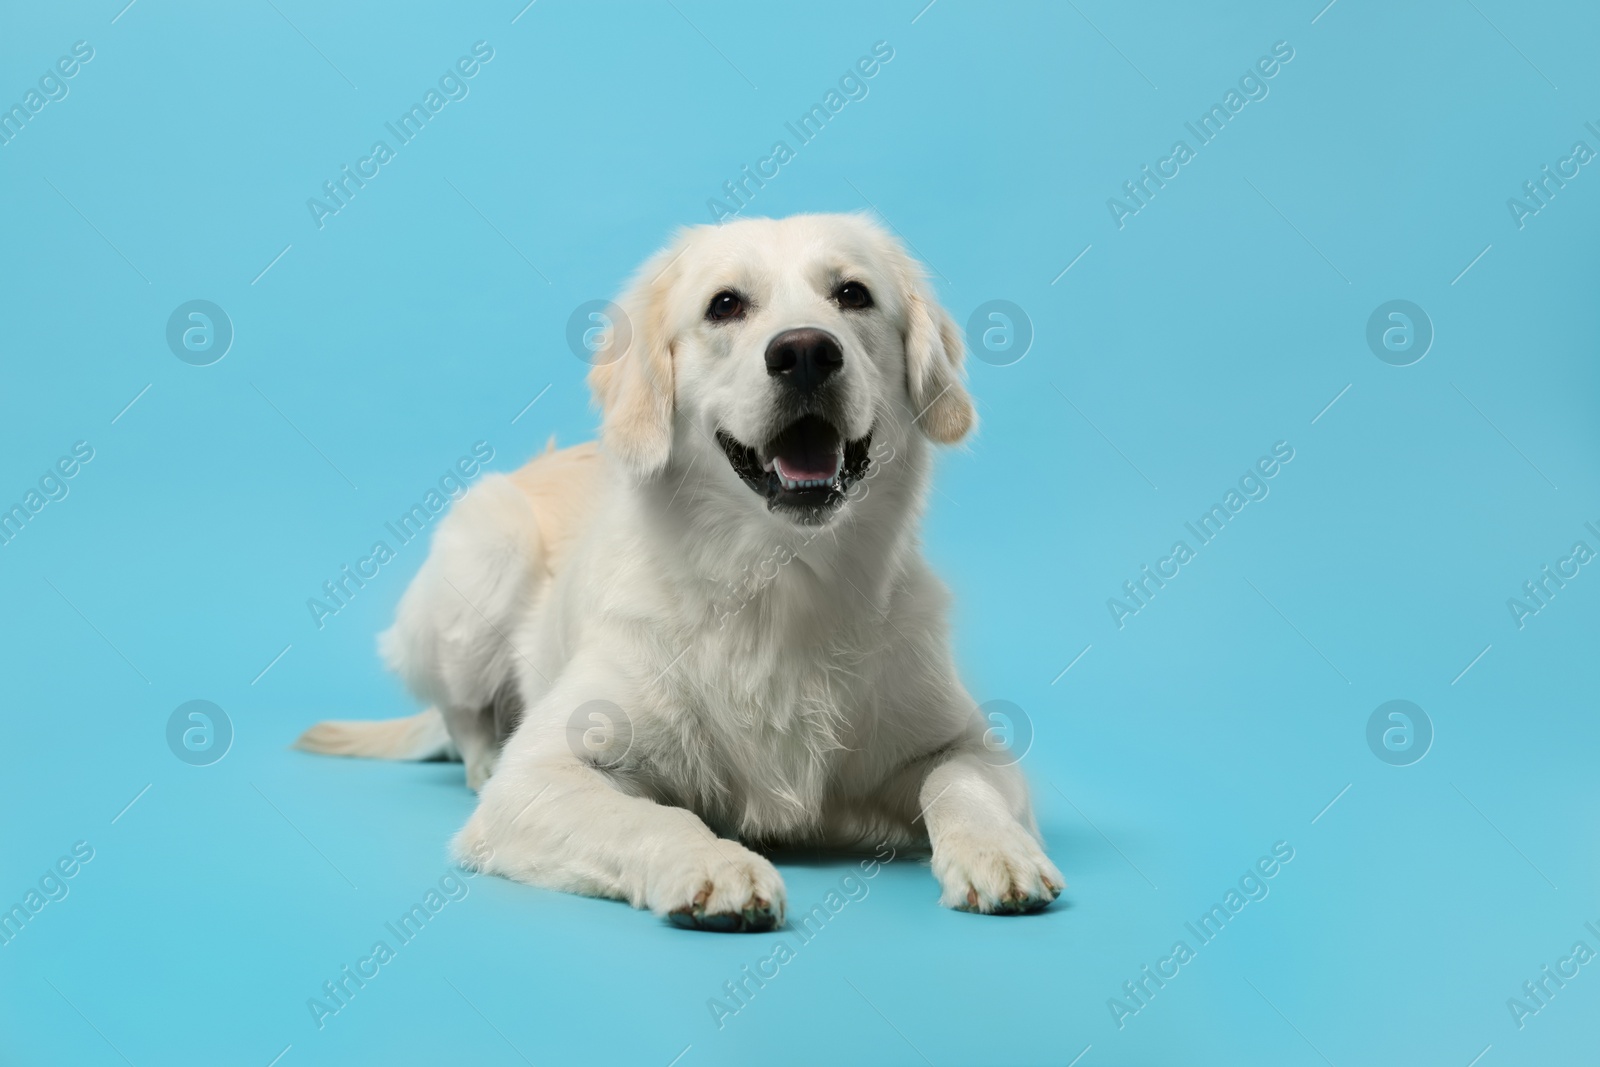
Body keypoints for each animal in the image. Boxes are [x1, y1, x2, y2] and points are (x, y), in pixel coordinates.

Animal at [300, 214, 1068, 927]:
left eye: (852, 294)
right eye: (725, 305)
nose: (805, 352)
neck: (778, 582)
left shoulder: (966, 741)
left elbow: (959, 784)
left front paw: (997, 851)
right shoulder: (542, 772)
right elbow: (651, 814)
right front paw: (714, 864)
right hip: (488, 542)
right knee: (464, 721)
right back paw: (482, 755)